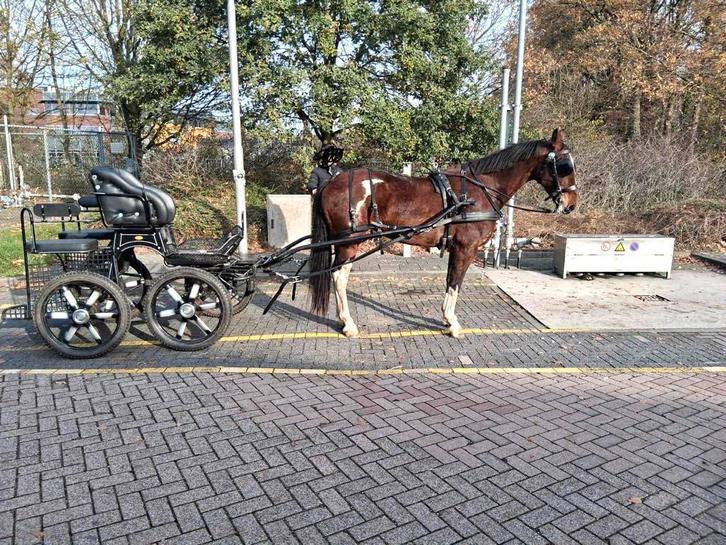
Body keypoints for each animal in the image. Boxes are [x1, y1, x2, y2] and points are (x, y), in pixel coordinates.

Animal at [308, 128, 578, 338]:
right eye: (565, 166)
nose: (571, 204)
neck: (481, 190)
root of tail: (331, 182)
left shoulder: (455, 248)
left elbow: (449, 280)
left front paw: (446, 319)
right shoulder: (466, 249)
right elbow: (456, 282)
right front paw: (453, 323)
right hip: (349, 242)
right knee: (338, 277)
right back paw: (348, 324)